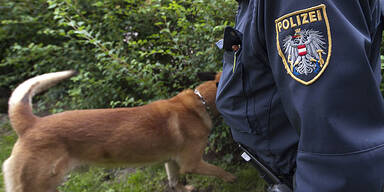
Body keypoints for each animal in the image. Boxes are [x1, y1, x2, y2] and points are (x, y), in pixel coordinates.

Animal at [2, 71, 237, 192]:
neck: (201, 103)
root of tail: (30, 124)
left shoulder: (171, 161)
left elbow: (174, 181)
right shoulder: (192, 163)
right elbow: (220, 171)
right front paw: (232, 178)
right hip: (39, 184)